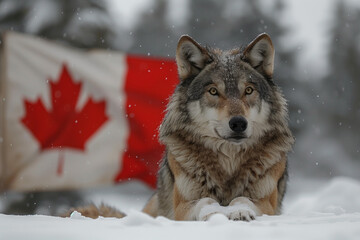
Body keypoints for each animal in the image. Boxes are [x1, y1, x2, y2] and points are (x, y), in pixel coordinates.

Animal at [67, 33, 292, 221]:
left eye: (248, 90)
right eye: (213, 91)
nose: (238, 123)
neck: (228, 161)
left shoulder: (267, 203)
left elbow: (243, 199)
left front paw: (238, 211)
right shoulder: (182, 206)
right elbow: (205, 200)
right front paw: (215, 213)